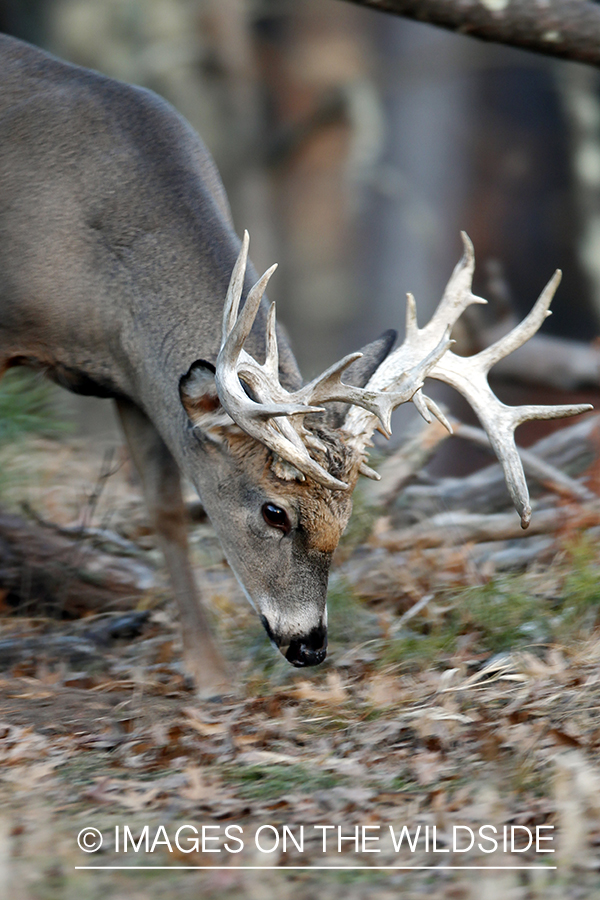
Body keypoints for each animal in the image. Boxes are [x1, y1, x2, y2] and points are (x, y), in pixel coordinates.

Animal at [0, 33, 592, 696]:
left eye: (347, 515)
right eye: (274, 511)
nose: (310, 646)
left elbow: (165, 512)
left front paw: (211, 676)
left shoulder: (129, 378)